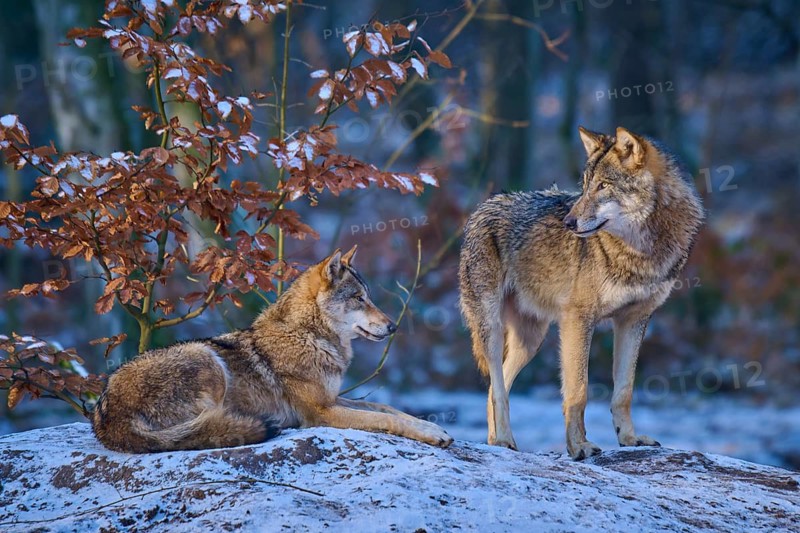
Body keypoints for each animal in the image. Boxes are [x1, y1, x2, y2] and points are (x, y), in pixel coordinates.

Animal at [93, 246, 453, 453]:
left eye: (368, 297)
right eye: (358, 298)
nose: (393, 327)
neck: (308, 335)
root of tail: (107, 419)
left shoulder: (332, 398)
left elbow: (385, 407)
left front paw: (433, 427)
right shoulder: (321, 413)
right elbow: (388, 419)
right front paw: (430, 433)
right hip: (207, 358)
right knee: (205, 429)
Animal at [459, 127, 704, 460]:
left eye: (603, 186)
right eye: (585, 186)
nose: (568, 223)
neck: (641, 252)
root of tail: (484, 205)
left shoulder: (635, 320)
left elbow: (624, 390)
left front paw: (629, 438)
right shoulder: (577, 319)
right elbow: (578, 391)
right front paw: (579, 446)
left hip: (531, 341)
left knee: (492, 391)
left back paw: (495, 440)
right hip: (492, 330)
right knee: (496, 388)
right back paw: (503, 441)